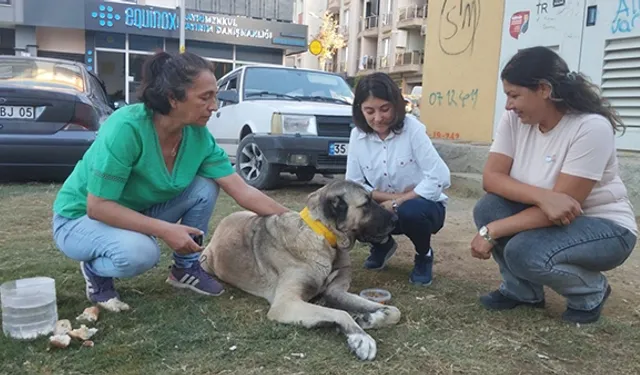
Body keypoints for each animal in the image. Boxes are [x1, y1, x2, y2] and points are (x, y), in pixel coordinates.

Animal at [200, 179, 400, 362]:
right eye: (366, 204)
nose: (396, 219)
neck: (324, 237)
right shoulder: (286, 304)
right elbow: (340, 312)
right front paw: (360, 337)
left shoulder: (336, 291)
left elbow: (394, 310)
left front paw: (369, 318)